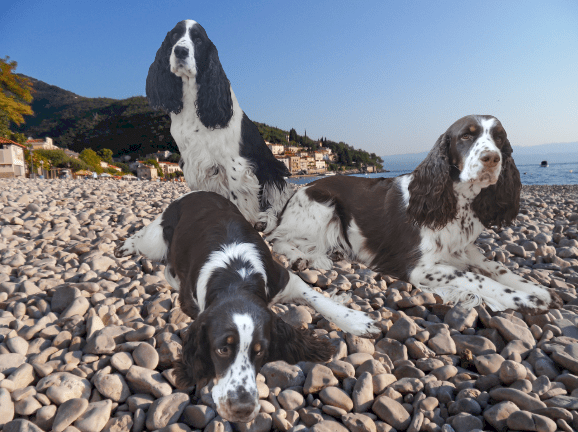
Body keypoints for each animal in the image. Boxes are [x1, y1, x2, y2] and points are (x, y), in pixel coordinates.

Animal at [114, 191, 379, 422]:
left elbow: (318, 298)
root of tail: (193, 193)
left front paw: (358, 321)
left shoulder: (283, 278)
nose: (242, 408)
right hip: (156, 240)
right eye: (222, 350)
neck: (236, 278)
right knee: (143, 239)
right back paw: (127, 247)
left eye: (260, 351)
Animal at [146, 20, 293, 232]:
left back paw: (265, 220)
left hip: (274, 170)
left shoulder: (236, 165)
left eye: (198, 40)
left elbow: (240, 199)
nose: (180, 51)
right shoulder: (194, 163)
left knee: (277, 205)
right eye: (174, 35)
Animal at [267, 115, 563, 314]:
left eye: (499, 137)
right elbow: (476, 278)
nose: (492, 158)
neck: (454, 203)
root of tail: (298, 192)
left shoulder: (463, 250)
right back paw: (303, 258)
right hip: (322, 207)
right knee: (278, 239)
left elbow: (497, 267)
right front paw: (522, 299)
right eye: (466, 136)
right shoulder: (419, 267)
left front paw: (537, 290)